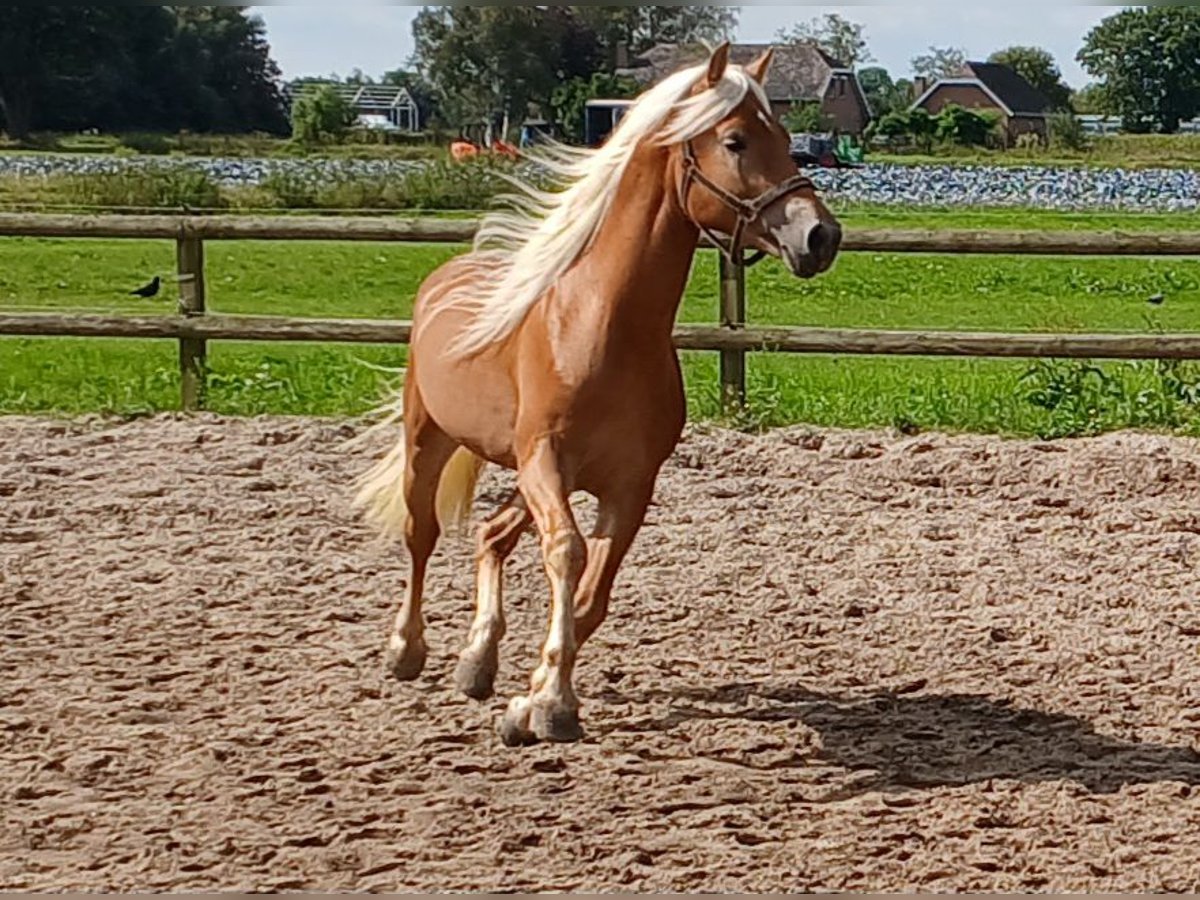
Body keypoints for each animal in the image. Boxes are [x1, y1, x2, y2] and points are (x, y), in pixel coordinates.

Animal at [355, 42, 840, 748]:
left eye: (787, 137)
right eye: (736, 140)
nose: (820, 237)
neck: (601, 325)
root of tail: (446, 276)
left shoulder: (629, 482)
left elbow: (592, 592)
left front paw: (531, 701)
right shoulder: (547, 463)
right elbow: (567, 554)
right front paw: (552, 702)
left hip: (527, 478)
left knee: (492, 534)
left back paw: (477, 663)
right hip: (433, 442)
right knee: (423, 536)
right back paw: (406, 651)